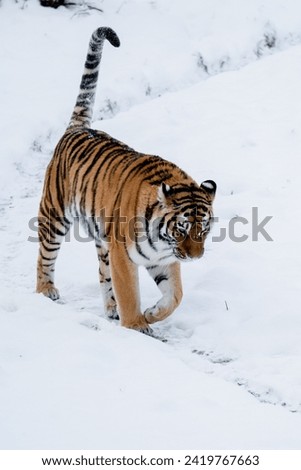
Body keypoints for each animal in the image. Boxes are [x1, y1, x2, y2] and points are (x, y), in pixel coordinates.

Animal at [37, 27, 216, 334]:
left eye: (203, 228)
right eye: (182, 228)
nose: (195, 257)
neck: (163, 241)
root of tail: (77, 128)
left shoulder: (164, 259)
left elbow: (175, 295)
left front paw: (152, 313)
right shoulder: (124, 254)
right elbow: (129, 291)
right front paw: (136, 325)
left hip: (101, 237)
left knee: (102, 273)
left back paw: (111, 309)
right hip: (54, 215)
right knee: (45, 256)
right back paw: (44, 292)